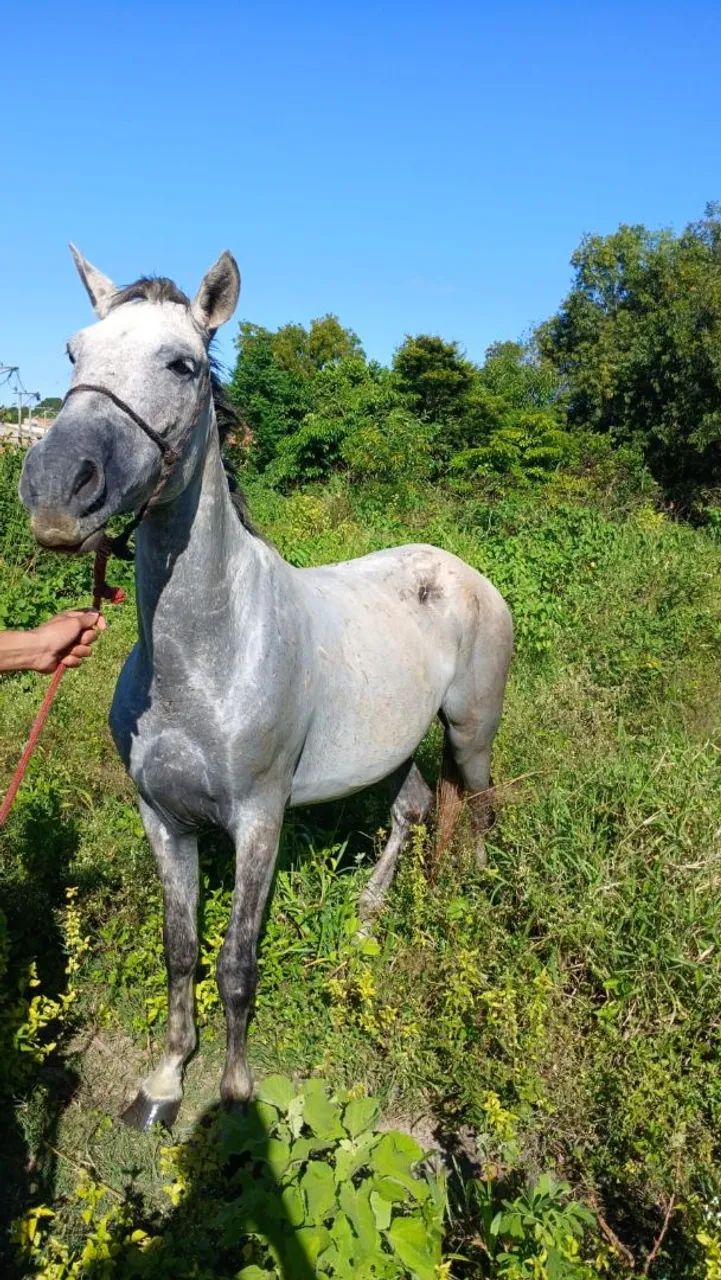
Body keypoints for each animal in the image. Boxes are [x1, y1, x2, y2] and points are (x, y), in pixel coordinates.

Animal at [20, 248, 513, 1130]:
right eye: (75, 351)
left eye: (182, 364)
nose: (54, 489)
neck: (207, 660)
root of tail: (462, 573)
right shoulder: (162, 818)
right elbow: (181, 950)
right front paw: (163, 1084)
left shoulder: (258, 820)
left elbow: (236, 963)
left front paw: (234, 1100)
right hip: (393, 746)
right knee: (412, 809)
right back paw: (365, 925)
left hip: (470, 732)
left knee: (478, 807)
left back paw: (468, 906)